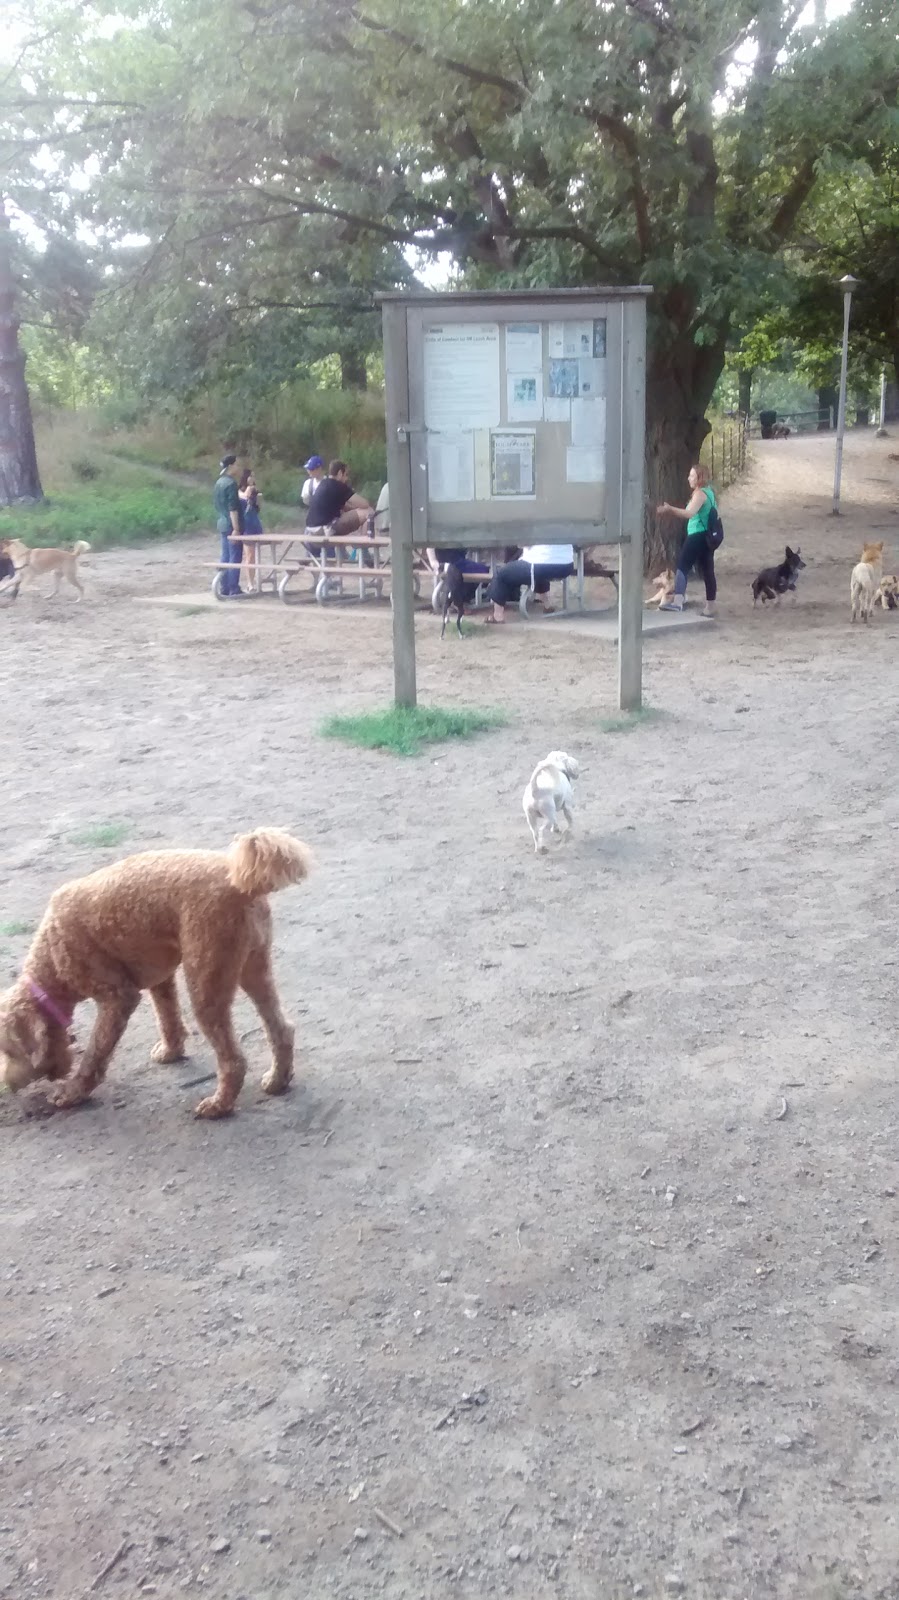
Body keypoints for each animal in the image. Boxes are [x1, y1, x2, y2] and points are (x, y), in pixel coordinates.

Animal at [0, 832, 311, 1120]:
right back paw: (278, 1080)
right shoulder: (160, 979)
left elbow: (95, 1053)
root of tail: (244, 885)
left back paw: (219, 1105)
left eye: (10, 1051)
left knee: (233, 1061)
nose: (8, 1086)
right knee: (281, 1029)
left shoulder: (118, 997)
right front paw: (171, 1051)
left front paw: (73, 1092)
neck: (51, 962)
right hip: (254, 968)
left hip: (206, 980)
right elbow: (168, 1017)